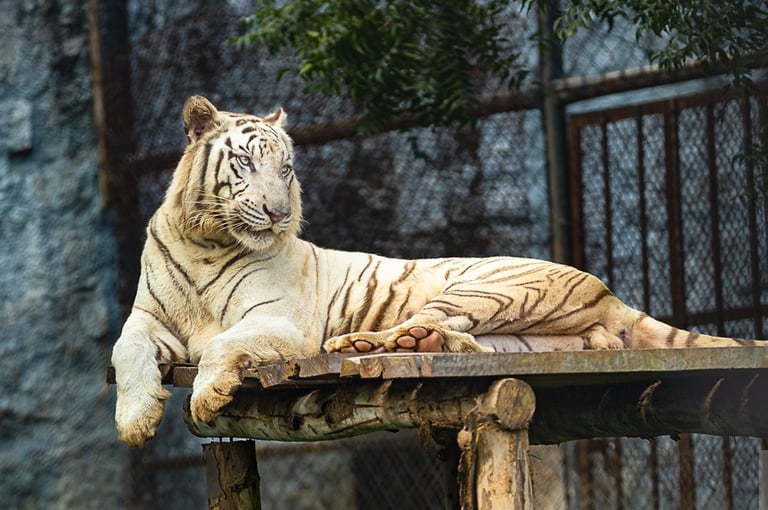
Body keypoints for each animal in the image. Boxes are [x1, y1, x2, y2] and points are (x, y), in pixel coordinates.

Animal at [111, 95, 763, 447]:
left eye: (287, 169)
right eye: (247, 164)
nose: (277, 212)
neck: (208, 241)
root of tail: (607, 290)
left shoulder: (280, 323)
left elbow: (224, 343)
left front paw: (205, 395)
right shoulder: (148, 316)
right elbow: (125, 351)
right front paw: (135, 422)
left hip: (485, 287)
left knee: (436, 327)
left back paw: (366, 343)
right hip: (528, 335)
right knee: (468, 344)